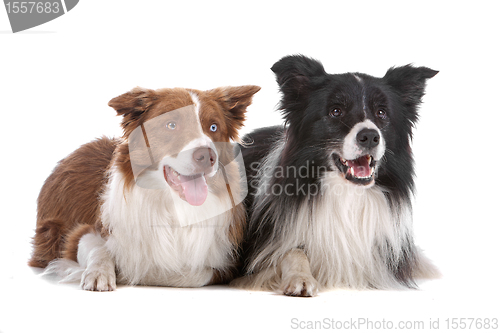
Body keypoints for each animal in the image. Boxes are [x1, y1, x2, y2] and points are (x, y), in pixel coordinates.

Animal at [28, 84, 260, 290]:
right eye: (171, 125)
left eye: (213, 127)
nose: (207, 156)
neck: (174, 206)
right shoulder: (82, 234)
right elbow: (97, 249)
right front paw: (100, 273)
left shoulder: (226, 262)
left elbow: (190, 274)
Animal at [236, 55, 440, 296]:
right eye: (336, 111)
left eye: (381, 112)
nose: (370, 136)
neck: (347, 194)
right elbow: (292, 251)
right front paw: (300, 278)